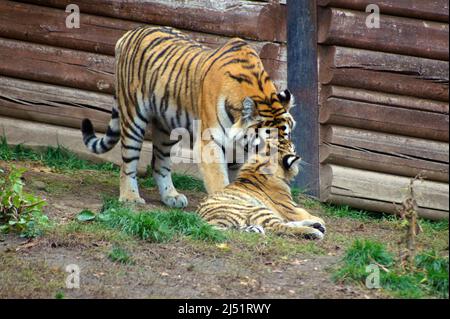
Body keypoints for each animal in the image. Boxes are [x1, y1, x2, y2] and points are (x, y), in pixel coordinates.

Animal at [197, 138, 326, 240]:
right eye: (293, 148)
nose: (291, 141)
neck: (262, 163)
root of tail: (209, 222)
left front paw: (318, 221)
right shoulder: (291, 208)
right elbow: (305, 213)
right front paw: (320, 220)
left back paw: (316, 225)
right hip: (258, 209)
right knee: (279, 226)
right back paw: (315, 231)